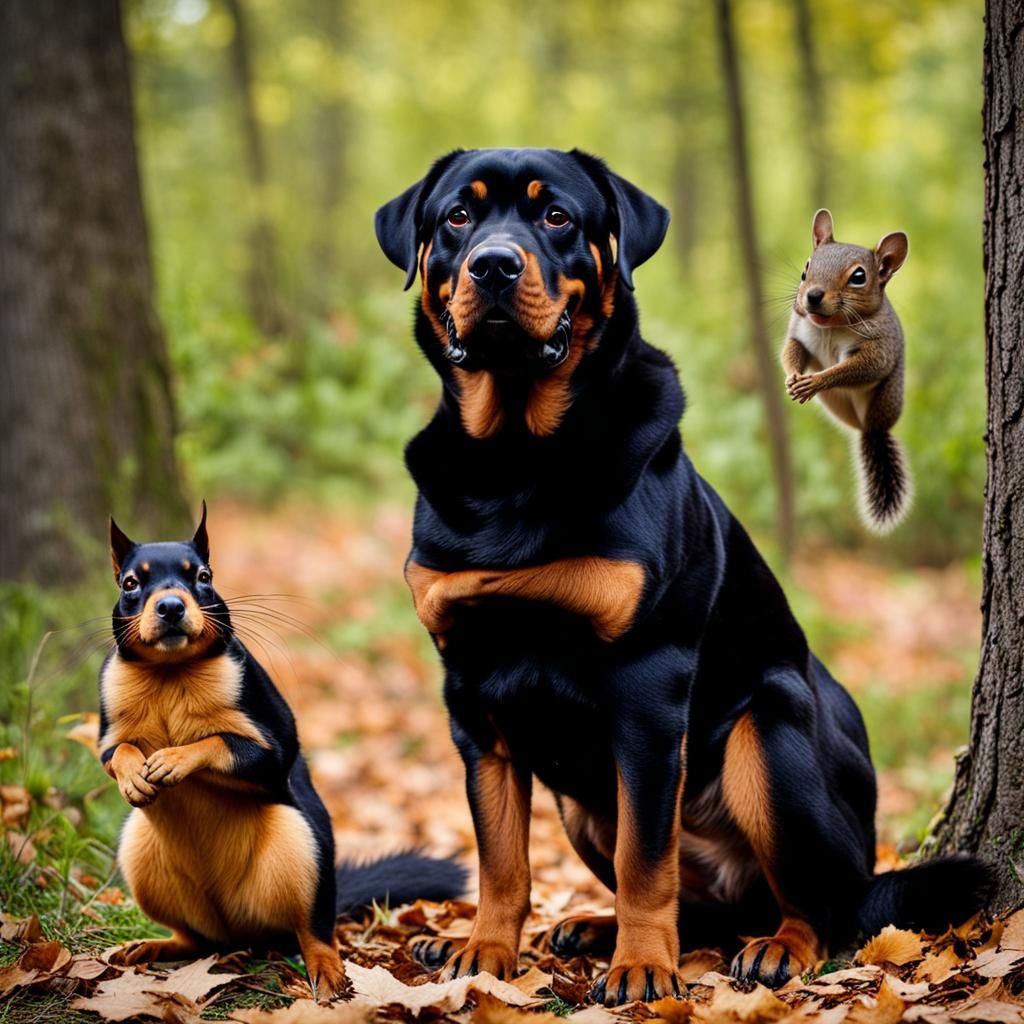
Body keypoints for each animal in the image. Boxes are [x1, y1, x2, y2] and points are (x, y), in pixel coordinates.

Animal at [99, 504, 466, 998]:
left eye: (204, 576)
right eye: (129, 584)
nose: (171, 606)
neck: (170, 672)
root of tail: (242, 933)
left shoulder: (268, 718)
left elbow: (229, 745)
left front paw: (172, 760)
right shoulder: (110, 722)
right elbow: (115, 752)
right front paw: (136, 776)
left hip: (302, 852)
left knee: (313, 931)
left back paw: (326, 973)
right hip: (145, 861)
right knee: (195, 940)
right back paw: (152, 946)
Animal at [782, 209, 911, 533]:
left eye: (858, 277)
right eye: (806, 267)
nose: (813, 295)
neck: (831, 326)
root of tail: (870, 428)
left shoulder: (879, 347)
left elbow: (859, 368)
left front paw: (816, 381)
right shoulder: (800, 331)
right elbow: (791, 350)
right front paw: (792, 377)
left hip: (883, 400)